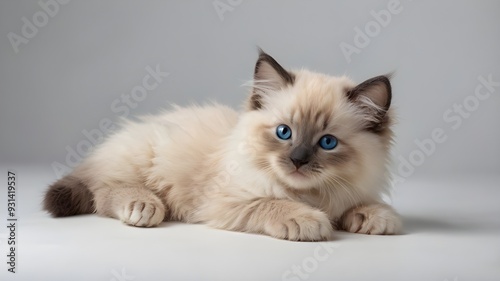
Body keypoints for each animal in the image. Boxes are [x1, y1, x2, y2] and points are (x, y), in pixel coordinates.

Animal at [43, 50, 402, 241]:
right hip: (140, 159)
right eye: (284, 132)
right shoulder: (227, 202)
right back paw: (143, 206)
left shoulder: (347, 191)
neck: (311, 195)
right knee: (103, 191)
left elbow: (359, 205)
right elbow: (271, 203)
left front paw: (376, 216)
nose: (298, 160)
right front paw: (308, 220)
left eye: (327, 142)